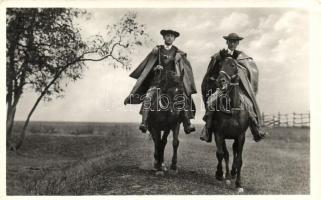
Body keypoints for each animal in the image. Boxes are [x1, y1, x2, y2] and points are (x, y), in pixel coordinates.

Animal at [208, 55, 255, 192]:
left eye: (233, 65)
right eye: (219, 65)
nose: (220, 81)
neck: (232, 109)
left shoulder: (240, 136)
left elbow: (239, 159)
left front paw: (239, 184)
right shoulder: (219, 134)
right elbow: (221, 154)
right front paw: (220, 174)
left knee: (234, 151)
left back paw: (233, 173)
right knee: (226, 154)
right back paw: (228, 175)